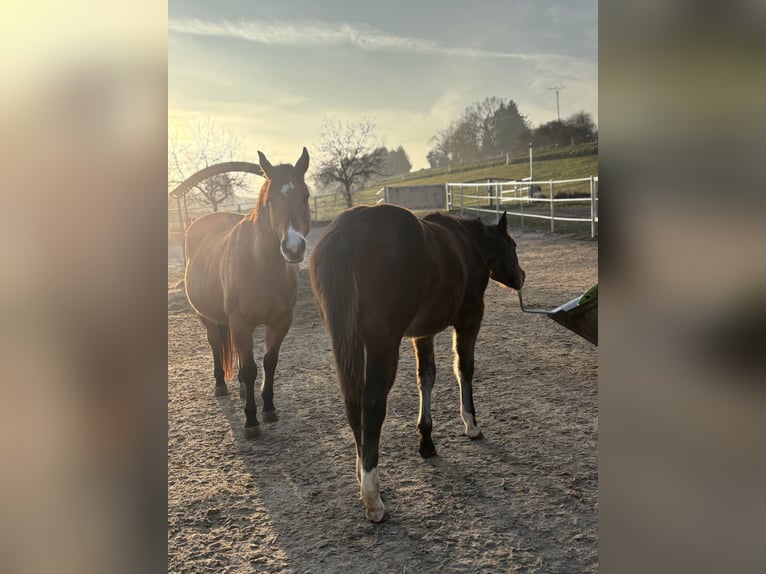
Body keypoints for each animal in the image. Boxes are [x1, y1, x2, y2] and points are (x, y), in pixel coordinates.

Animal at [184, 148, 311, 438]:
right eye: (271, 200)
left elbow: (268, 362)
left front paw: (268, 408)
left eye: (305, 196)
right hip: (207, 317)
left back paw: (242, 390)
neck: (262, 266)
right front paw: (251, 420)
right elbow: (251, 368)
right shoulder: (241, 323)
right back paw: (221, 385)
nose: (293, 248)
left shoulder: (280, 321)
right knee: (215, 343)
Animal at [309, 204, 526, 522]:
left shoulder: (423, 332)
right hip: (382, 343)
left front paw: (426, 439)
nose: (521, 276)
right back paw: (373, 498)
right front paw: (471, 424)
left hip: (346, 340)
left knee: (353, 402)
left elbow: (426, 376)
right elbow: (464, 369)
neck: (468, 243)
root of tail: (350, 230)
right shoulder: (470, 317)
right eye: (512, 245)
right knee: (372, 404)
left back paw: (363, 477)